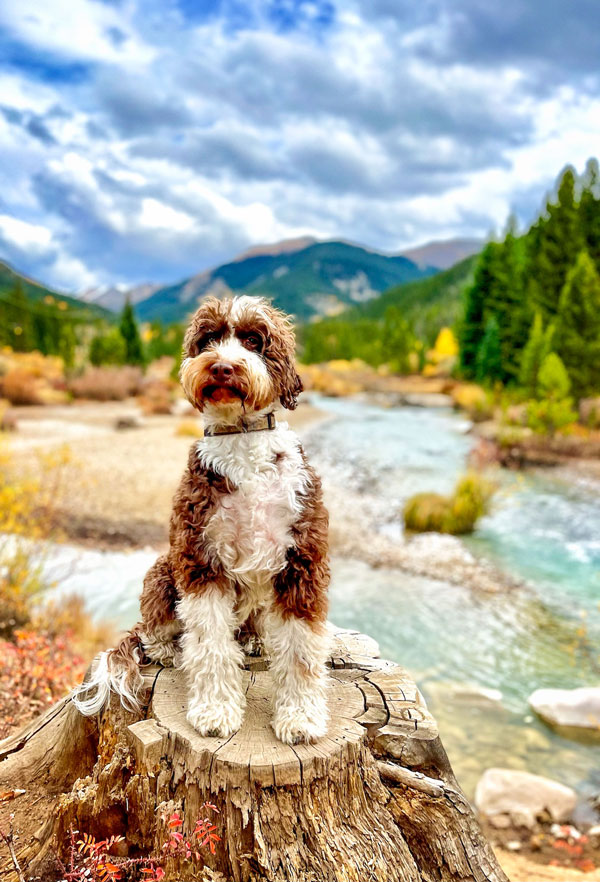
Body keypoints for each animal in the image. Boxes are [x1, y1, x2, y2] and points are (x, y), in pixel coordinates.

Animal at [74, 294, 332, 744]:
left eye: (253, 339)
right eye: (208, 338)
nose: (222, 367)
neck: (242, 439)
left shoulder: (300, 561)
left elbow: (301, 649)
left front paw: (300, 718)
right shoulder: (200, 560)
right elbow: (210, 642)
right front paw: (215, 712)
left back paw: (256, 639)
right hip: (162, 571)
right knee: (152, 627)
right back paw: (164, 648)